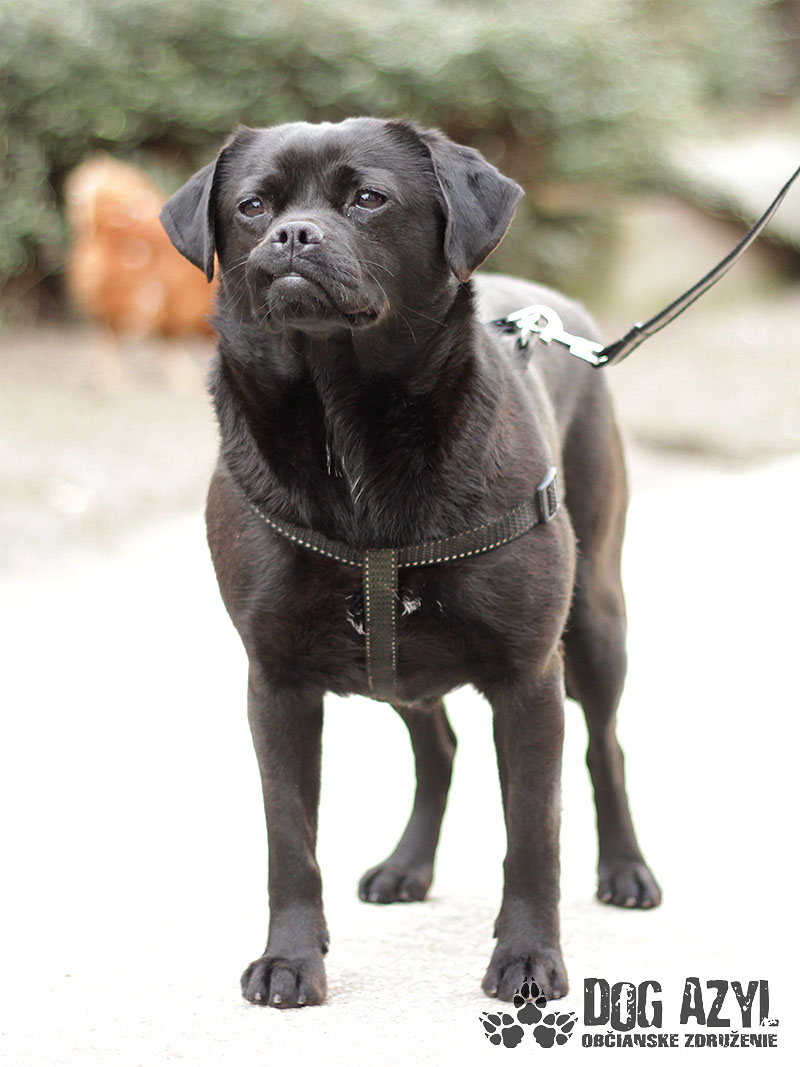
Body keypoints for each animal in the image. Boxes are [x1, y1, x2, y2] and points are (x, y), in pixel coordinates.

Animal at [160, 117, 661, 1009]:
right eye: (252, 206)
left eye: (368, 198)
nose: (294, 235)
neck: (346, 425)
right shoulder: (275, 682)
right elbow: (289, 840)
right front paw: (291, 959)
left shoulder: (529, 676)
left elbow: (534, 833)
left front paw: (528, 957)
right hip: (403, 668)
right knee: (439, 749)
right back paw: (406, 865)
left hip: (596, 622)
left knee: (605, 748)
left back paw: (627, 869)